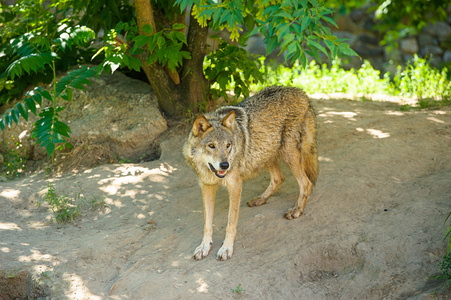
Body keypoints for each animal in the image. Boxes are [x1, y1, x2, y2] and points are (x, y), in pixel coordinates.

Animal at [183, 86, 318, 260]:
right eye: (211, 146)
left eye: (228, 145)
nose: (225, 165)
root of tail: (301, 92)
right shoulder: (207, 187)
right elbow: (207, 223)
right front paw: (204, 247)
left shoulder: (235, 186)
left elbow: (230, 222)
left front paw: (226, 248)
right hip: (265, 153)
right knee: (279, 178)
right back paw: (260, 200)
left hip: (287, 153)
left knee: (306, 183)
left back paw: (296, 211)